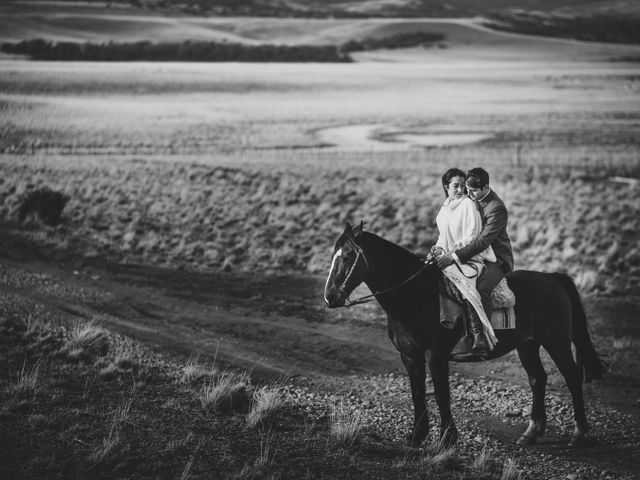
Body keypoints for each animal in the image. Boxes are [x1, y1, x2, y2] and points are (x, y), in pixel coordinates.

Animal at [324, 223, 604, 448]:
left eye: (348, 256)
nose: (329, 297)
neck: (417, 295)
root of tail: (553, 279)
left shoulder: (435, 354)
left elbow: (441, 394)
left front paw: (447, 439)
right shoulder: (410, 356)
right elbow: (417, 392)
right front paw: (416, 437)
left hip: (557, 342)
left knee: (571, 377)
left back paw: (579, 434)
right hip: (528, 345)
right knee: (538, 379)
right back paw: (531, 433)